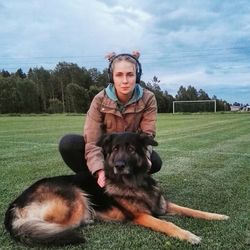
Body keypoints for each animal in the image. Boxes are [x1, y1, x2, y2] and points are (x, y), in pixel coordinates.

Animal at [4, 133, 229, 246]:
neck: (135, 182)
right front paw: (189, 235)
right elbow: (168, 224)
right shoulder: (141, 216)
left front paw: (217, 216)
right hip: (75, 197)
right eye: (114, 150)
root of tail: (14, 204)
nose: (119, 165)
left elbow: (193, 210)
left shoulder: (163, 206)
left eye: (130, 149)